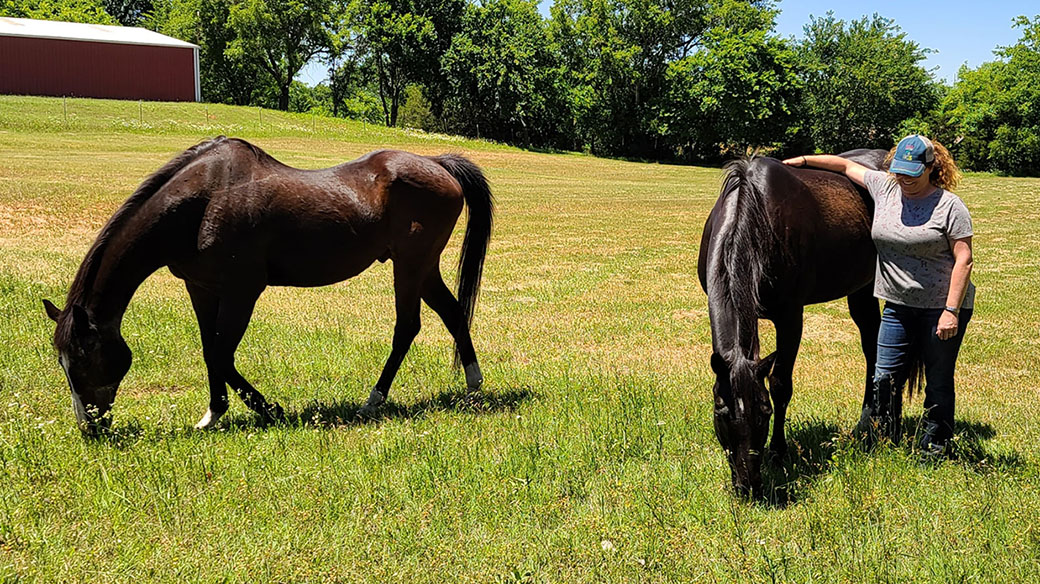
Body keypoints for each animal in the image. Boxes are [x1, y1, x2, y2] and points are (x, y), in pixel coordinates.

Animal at [42, 134, 492, 430]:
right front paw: (213, 413)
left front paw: (269, 409)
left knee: (407, 328)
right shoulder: (201, 289)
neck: (202, 203)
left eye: (82, 358)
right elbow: (209, 351)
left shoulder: (242, 292)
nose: (89, 427)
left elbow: (222, 355)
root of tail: (438, 164)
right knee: (453, 314)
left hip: (410, 266)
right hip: (423, 267)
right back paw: (473, 385)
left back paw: (373, 400)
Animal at [694, 147, 890, 492]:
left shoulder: (790, 317)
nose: (749, 485)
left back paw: (869, 422)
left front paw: (778, 452)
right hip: (861, 289)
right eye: (721, 411)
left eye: (765, 412)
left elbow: (780, 384)